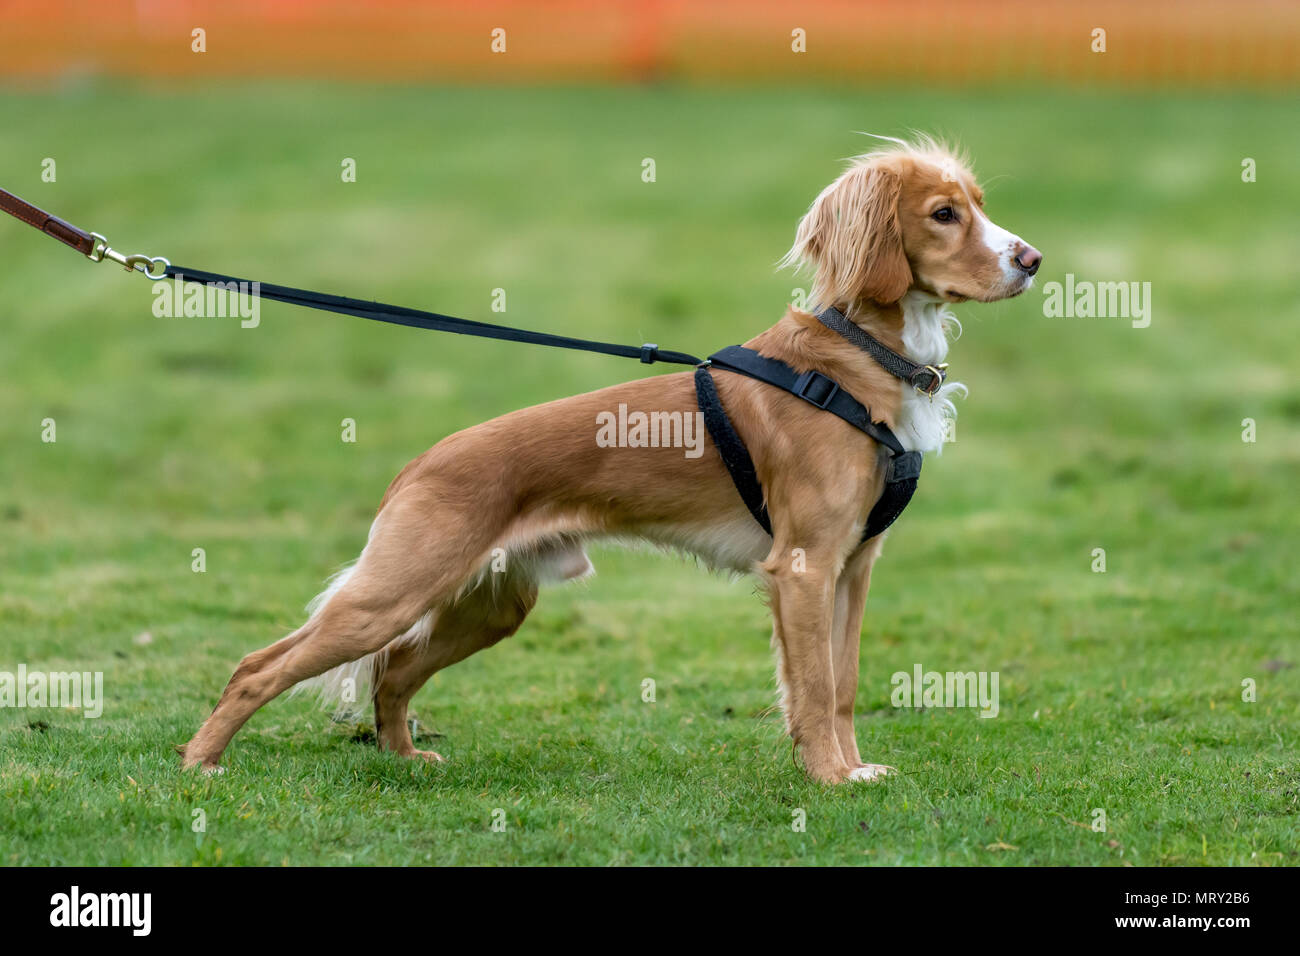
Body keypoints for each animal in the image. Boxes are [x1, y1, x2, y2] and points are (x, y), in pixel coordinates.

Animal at [183, 138, 1040, 790]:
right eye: (944, 214)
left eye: (979, 203)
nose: (1031, 260)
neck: (857, 363)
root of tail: (423, 460)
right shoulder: (802, 567)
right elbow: (816, 688)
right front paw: (829, 778)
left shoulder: (852, 567)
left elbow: (844, 685)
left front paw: (851, 769)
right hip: (392, 593)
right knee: (259, 666)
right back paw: (200, 763)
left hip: (489, 605)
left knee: (393, 670)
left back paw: (402, 756)